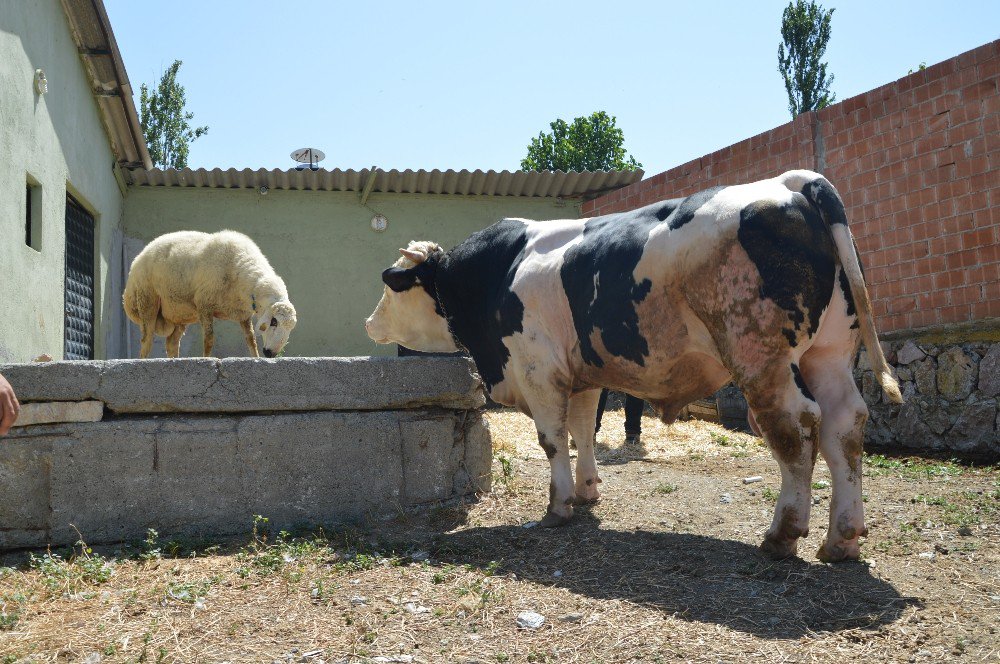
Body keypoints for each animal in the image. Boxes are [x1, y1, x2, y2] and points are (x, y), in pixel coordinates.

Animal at [121, 232, 296, 360]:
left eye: (290, 328)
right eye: (274, 321)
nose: (271, 353)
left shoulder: (243, 314)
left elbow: (251, 340)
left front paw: (256, 358)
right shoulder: (204, 304)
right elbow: (209, 339)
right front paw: (206, 359)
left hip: (179, 312)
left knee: (171, 343)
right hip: (147, 299)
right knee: (146, 340)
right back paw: (143, 360)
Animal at [364, 170, 904, 560]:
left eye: (391, 283)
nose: (370, 322)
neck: (495, 273)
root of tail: (793, 182)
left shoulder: (539, 372)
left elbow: (552, 440)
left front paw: (558, 507)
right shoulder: (580, 376)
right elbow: (582, 431)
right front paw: (586, 493)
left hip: (761, 358)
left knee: (796, 430)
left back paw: (783, 534)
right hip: (828, 355)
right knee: (844, 426)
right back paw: (842, 538)